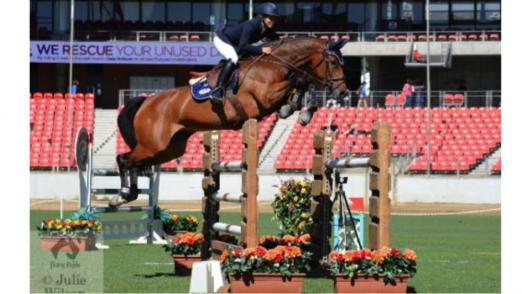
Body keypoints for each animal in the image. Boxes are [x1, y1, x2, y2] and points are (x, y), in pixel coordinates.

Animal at [109, 37, 346, 207]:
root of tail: (146, 101)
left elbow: (302, 87)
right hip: (153, 145)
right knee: (123, 159)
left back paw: (128, 195)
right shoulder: (265, 97)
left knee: (133, 162)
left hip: (168, 150)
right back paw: (121, 196)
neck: (275, 63)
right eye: (333, 62)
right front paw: (297, 109)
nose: (343, 93)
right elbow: (301, 80)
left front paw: (302, 111)